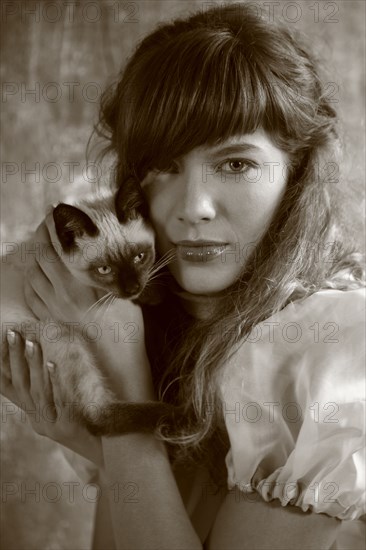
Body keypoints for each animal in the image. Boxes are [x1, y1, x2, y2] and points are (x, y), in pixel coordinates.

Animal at [0, 179, 174, 438]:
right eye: (104, 269)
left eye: (139, 257)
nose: (132, 288)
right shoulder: (96, 291)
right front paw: (157, 293)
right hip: (60, 335)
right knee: (96, 419)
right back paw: (178, 417)